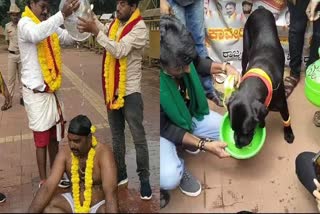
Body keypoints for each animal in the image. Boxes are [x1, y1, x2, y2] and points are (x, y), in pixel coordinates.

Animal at [228, 8, 296, 149]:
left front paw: (288, 133)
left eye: (247, 131)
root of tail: (260, 9)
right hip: (246, 50)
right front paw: (262, 123)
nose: (238, 145)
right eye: (233, 129)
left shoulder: (282, 104)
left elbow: (286, 119)